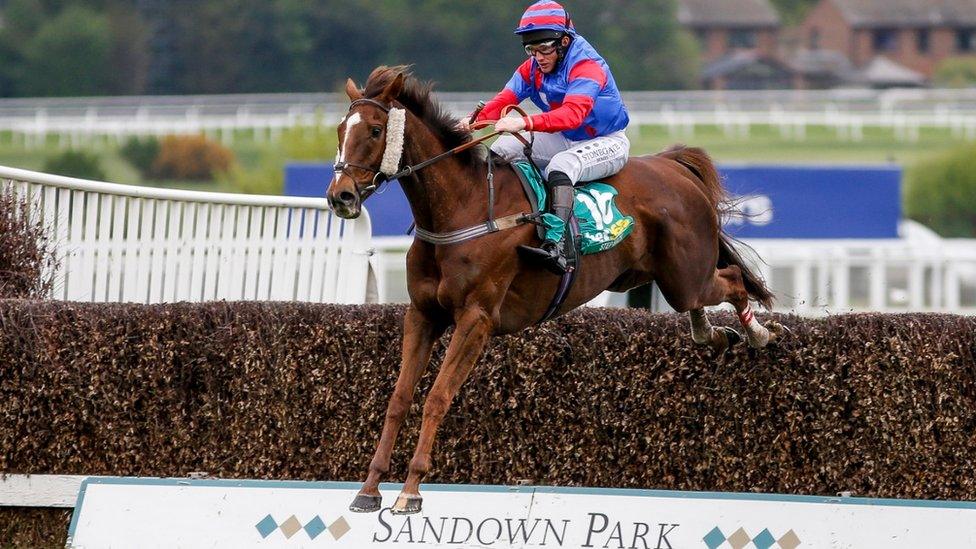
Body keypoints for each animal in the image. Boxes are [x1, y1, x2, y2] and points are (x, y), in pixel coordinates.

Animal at [328, 65, 784, 512]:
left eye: (374, 130)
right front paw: (369, 487)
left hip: (686, 276)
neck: (463, 207)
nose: (341, 197)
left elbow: (437, 397)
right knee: (707, 300)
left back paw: (759, 333)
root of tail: (671, 164)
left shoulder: (476, 319)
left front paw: (410, 490)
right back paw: (713, 333)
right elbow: (399, 398)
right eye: (340, 129)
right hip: (658, 276)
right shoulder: (422, 314)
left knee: (733, 281)